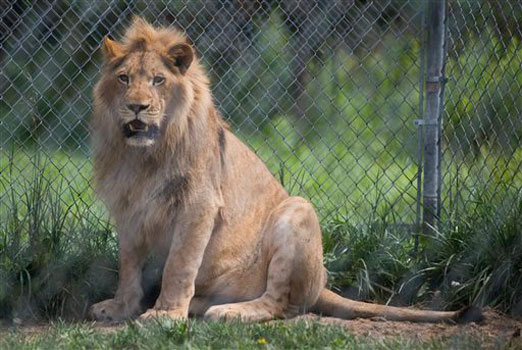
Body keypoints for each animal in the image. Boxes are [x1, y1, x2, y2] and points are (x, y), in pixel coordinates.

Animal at [88, 17, 480, 324]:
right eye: (123, 79)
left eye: (158, 80)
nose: (136, 107)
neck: (143, 158)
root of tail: (322, 284)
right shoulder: (128, 207)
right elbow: (128, 266)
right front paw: (121, 308)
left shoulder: (199, 203)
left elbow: (179, 264)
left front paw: (164, 314)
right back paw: (203, 305)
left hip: (297, 210)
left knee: (283, 304)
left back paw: (228, 311)